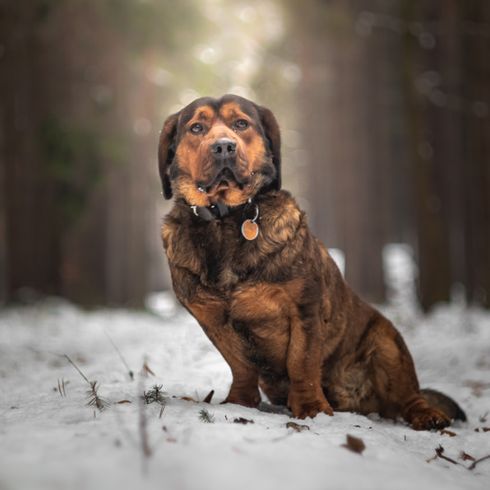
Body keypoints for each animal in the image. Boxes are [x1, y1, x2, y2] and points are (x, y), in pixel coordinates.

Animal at [160, 94, 468, 430]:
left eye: (241, 123)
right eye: (196, 128)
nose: (224, 147)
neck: (225, 220)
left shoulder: (304, 309)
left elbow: (302, 362)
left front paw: (311, 408)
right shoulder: (212, 320)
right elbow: (240, 365)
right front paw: (240, 402)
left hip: (387, 343)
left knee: (409, 395)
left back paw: (427, 414)